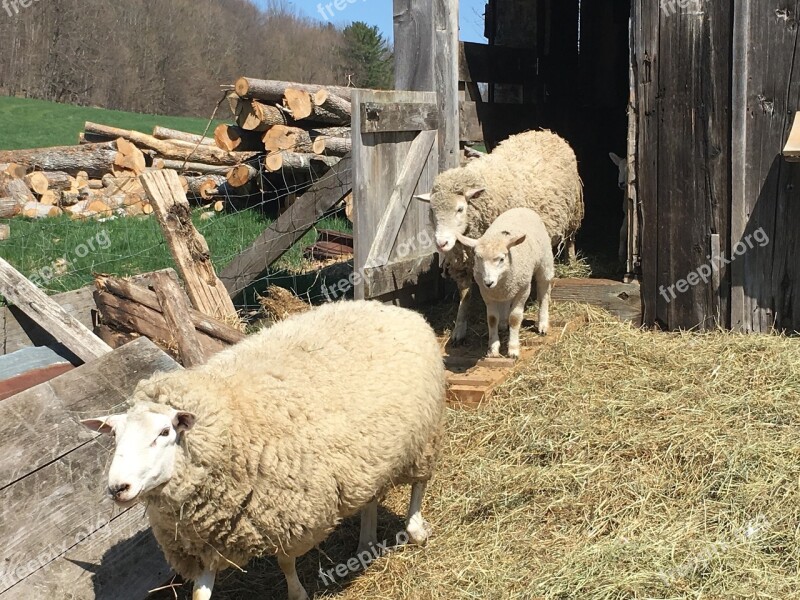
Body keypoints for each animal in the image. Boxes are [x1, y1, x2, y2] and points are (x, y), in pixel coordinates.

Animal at [83, 300, 444, 600]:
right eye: (115, 436)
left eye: (164, 432)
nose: (117, 488)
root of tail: (395, 309)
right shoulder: (210, 539)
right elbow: (201, 592)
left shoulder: (289, 515)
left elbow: (285, 562)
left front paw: (297, 593)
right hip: (370, 454)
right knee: (370, 496)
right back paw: (365, 543)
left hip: (423, 437)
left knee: (420, 483)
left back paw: (415, 530)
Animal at [456, 207, 556, 356]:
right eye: (478, 257)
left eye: (502, 259)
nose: (488, 282)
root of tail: (521, 208)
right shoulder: (486, 293)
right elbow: (492, 319)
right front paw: (493, 348)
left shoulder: (523, 289)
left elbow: (515, 318)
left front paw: (513, 349)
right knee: (505, 302)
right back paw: (503, 323)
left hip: (545, 262)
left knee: (543, 292)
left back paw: (543, 324)